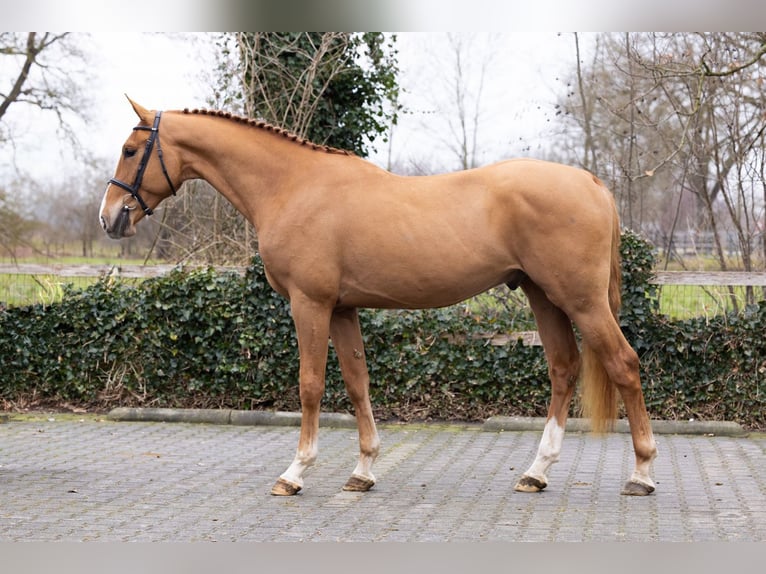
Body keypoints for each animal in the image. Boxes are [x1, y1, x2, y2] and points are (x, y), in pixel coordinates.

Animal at [99, 98, 657, 497]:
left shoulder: (310, 304)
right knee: (564, 369)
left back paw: (642, 474)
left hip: (582, 301)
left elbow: (310, 385)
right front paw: (363, 470)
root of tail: (591, 182)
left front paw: (295, 472)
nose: (110, 218)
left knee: (625, 364)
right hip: (544, 297)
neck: (293, 186)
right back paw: (536, 473)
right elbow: (357, 383)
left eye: (130, 150)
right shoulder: (342, 309)